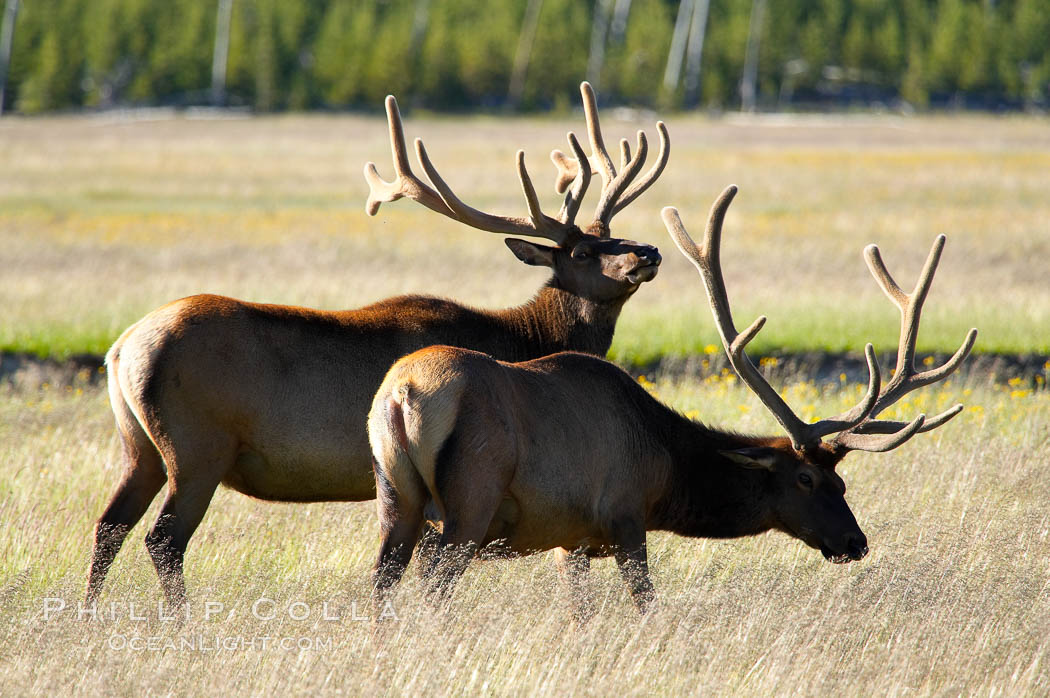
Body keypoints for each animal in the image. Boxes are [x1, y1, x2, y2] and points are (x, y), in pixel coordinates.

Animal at [86, 81, 667, 604]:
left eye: (614, 235)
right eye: (584, 253)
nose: (649, 252)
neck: (524, 337)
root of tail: (121, 348)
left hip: (139, 445)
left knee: (109, 525)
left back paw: (91, 613)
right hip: (197, 445)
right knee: (163, 539)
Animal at [369, 183, 974, 608]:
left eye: (843, 481)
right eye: (806, 479)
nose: (855, 542)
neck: (663, 468)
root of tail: (402, 394)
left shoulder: (570, 539)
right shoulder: (623, 514)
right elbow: (645, 604)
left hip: (395, 497)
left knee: (381, 582)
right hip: (469, 499)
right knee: (432, 584)